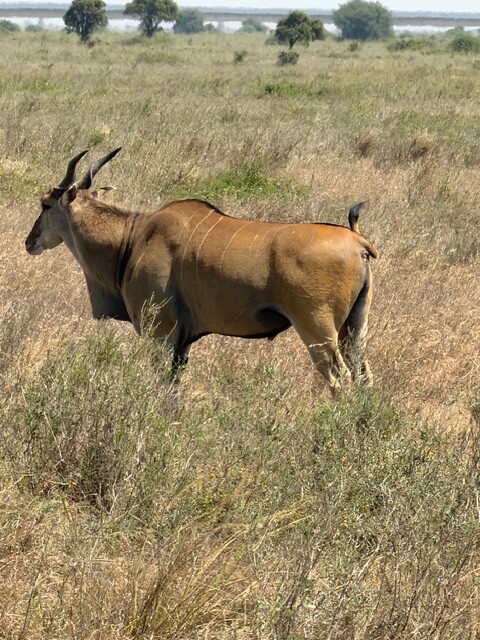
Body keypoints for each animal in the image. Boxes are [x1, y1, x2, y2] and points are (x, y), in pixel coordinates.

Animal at [25, 148, 378, 394]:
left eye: (45, 204)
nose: (30, 241)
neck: (134, 236)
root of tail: (357, 241)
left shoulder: (161, 334)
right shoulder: (183, 343)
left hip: (318, 331)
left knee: (340, 381)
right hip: (353, 330)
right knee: (363, 377)